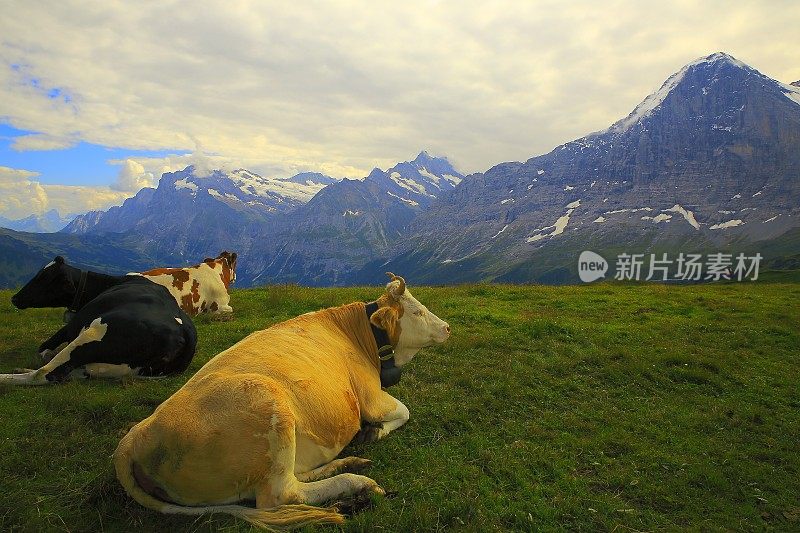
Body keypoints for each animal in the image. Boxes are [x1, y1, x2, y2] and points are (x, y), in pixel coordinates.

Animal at [3, 256, 197, 384]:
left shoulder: (72, 326)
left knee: (46, 374)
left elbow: (43, 348)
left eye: (43, 278)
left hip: (93, 333)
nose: (14, 298)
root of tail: (185, 333)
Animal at [114, 272, 450, 528]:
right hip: (271, 404)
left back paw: (343, 463)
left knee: (294, 476)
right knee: (283, 495)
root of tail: (135, 436)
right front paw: (375, 432)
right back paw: (355, 482)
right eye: (418, 312)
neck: (360, 335)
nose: (447, 327)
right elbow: (404, 411)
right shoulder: (370, 397)